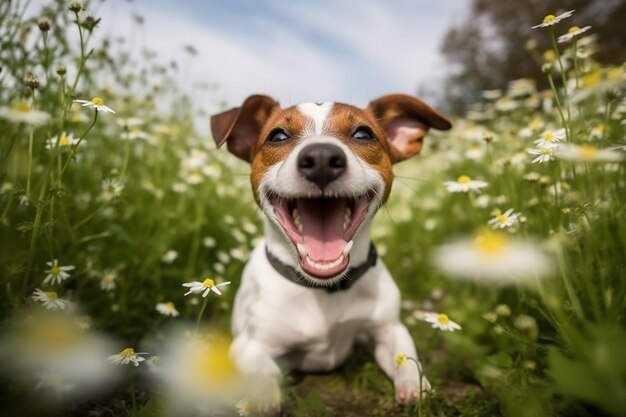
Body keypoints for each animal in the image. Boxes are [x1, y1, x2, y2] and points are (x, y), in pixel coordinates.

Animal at [210, 93, 448, 410]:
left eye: (363, 134)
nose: (321, 158)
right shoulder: (249, 346)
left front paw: (415, 387)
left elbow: (406, 358)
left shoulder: (390, 329)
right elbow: (264, 370)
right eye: (277, 136)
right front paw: (263, 397)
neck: (323, 291)